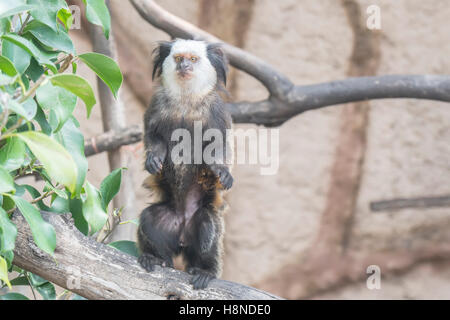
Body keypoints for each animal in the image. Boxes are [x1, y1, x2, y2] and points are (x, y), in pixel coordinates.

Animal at [138, 39, 234, 290]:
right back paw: (155, 257)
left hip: (200, 221)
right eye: (179, 58)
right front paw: (153, 160)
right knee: (148, 219)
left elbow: (219, 146)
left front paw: (222, 172)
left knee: (208, 227)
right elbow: (152, 137)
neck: (185, 101)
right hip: (167, 221)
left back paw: (205, 270)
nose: (184, 66)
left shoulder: (216, 112)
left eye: (192, 59)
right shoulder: (156, 105)